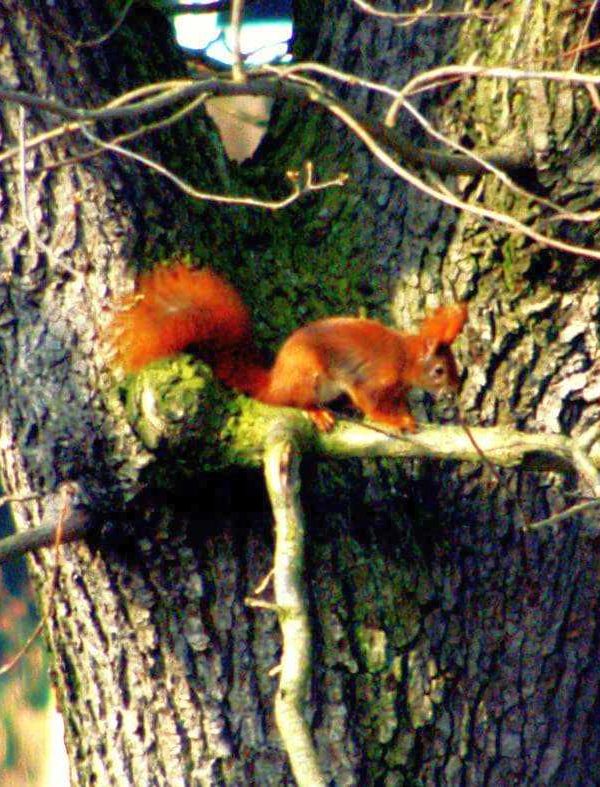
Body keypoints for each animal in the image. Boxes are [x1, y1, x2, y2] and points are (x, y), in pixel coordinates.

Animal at [109, 263, 467, 432]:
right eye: (439, 370)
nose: (454, 388)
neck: (405, 359)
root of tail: (275, 383)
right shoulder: (370, 379)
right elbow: (371, 405)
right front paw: (396, 421)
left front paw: (405, 413)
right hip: (307, 376)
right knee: (295, 401)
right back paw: (316, 412)